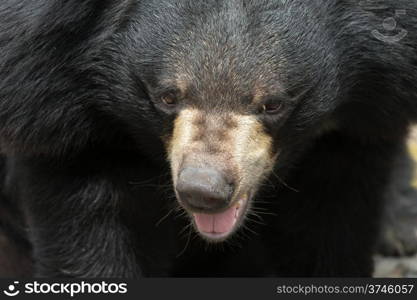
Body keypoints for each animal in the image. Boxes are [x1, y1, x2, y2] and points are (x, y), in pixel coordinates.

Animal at [0, 0, 416, 276]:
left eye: (273, 104)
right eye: (167, 97)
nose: (203, 192)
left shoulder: (356, 125)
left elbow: (329, 224)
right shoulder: (60, 111)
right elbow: (93, 228)